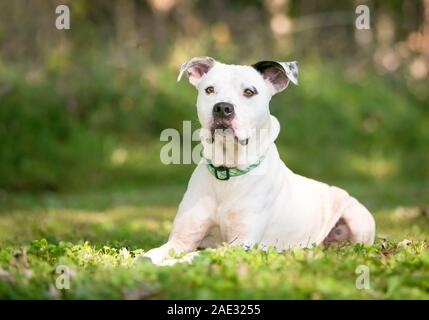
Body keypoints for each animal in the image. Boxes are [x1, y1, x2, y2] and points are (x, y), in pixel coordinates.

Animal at [145, 57, 374, 264]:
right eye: (209, 90)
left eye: (249, 92)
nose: (222, 108)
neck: (227, 172)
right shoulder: (181, 239)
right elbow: (149, 256)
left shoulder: (240, 244)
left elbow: (197, 256)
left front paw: (174, 264)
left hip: (357, 218)